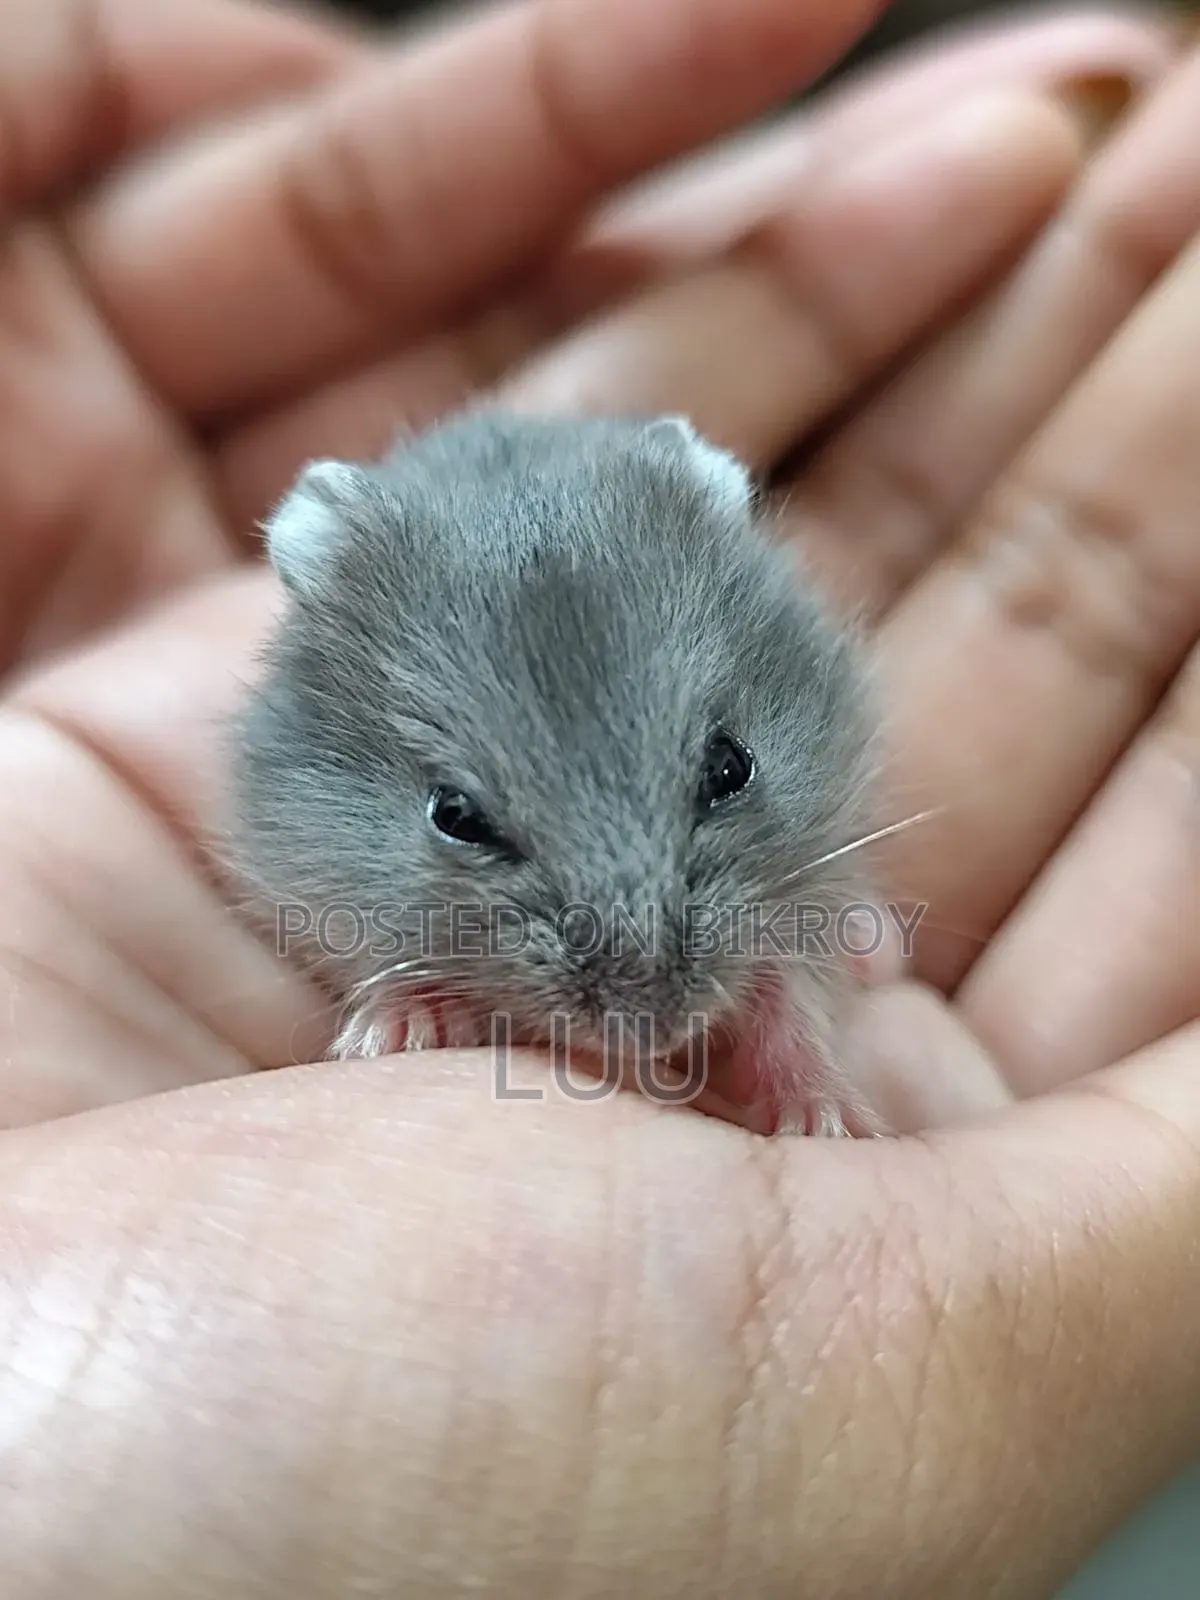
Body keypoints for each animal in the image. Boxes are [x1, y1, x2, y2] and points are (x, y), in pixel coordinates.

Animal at [225, 408, 890, 1137]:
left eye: (729, 765)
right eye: (453, 815)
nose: (656, 1036)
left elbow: (790, 992)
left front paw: (830, 1122)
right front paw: (392, 1032)